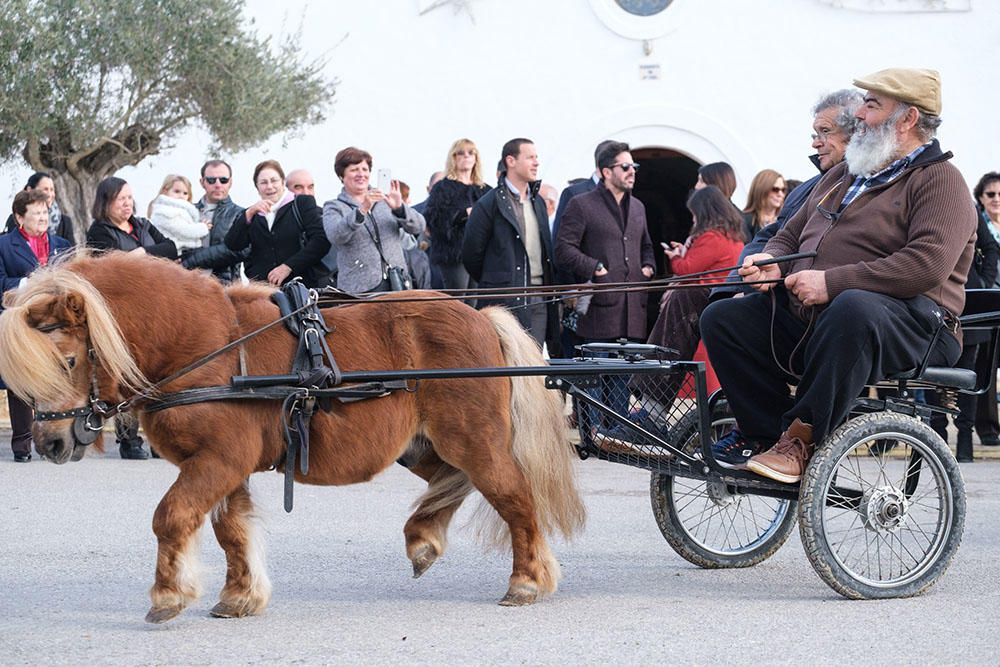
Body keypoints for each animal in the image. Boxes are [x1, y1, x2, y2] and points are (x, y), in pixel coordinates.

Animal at [0, 250, 584, 620]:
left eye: (68, 359)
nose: (51, 445)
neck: (205, 344)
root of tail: (483, 317)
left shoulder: (217, 460)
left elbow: (171, 517)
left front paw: (168, 596)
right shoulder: (222, 466)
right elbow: (230, 531)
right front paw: (239, 596)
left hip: (474, 439)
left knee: (514, 497)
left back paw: (526, 581)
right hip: (422, 446)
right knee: (452, 482)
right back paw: (423, 537)